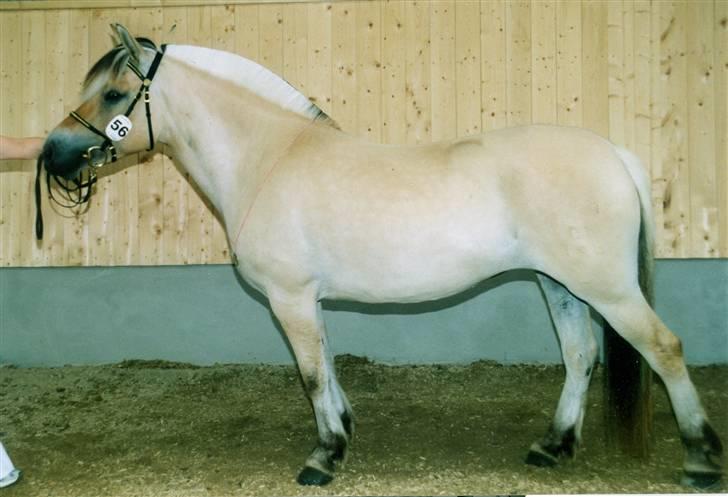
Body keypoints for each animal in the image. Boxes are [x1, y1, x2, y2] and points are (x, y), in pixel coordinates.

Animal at [41, 24, 724, 488]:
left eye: (115, 93)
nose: (51, 154)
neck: (270, 157)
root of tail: (615, 154)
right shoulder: (307, 299)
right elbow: (327, 364)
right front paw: (342, 432)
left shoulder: (289, 297)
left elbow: (311, 373)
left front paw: (322, 457)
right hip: (561, 284)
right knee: (581, 355)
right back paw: (552, 446)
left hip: (607, 288)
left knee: (664, 348)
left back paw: (698, 455)